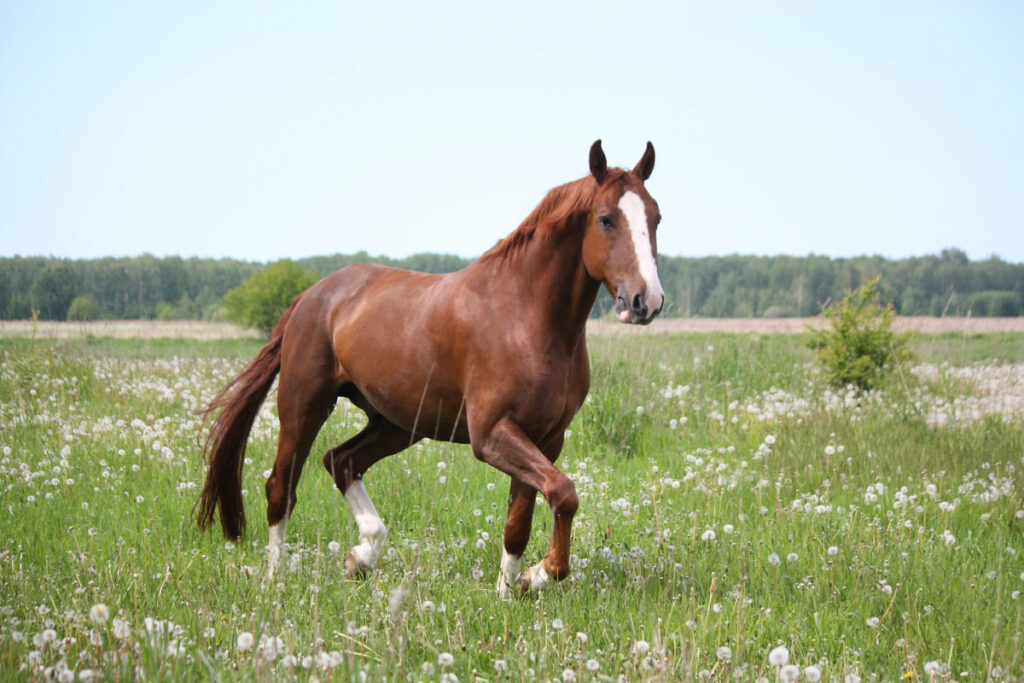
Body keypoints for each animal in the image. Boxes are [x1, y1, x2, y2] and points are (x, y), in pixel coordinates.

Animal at [197, 141, 663, 593]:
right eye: (605, 219)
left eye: (656, 217)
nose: (646, 301)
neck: (524, 315)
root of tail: (312, 295)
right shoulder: (492, 435)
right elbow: (564, 493)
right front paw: (538, 575)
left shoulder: (546, 439)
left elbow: (521, 521)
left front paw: (510, 591)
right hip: (304, 406)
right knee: (282, 487)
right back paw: (275, 579)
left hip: (397, 423)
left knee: (341, 461)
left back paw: (362, 555)